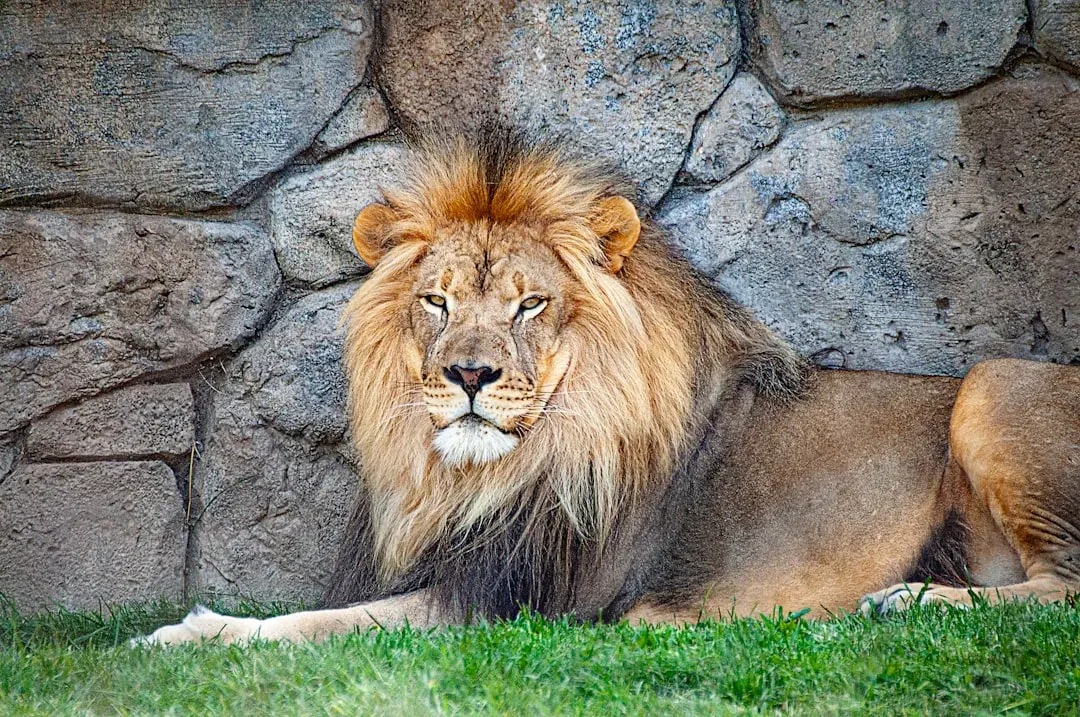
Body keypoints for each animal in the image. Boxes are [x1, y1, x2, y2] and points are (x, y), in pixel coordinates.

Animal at [138, 132, 1080, 645]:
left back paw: (905, 600)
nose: (469, 374)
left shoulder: (510, 604)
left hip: (992, 381)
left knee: (1064, 589)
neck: (479, 477)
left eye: (530, 304)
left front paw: (191, 631)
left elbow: (316, 625)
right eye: (437, 301)